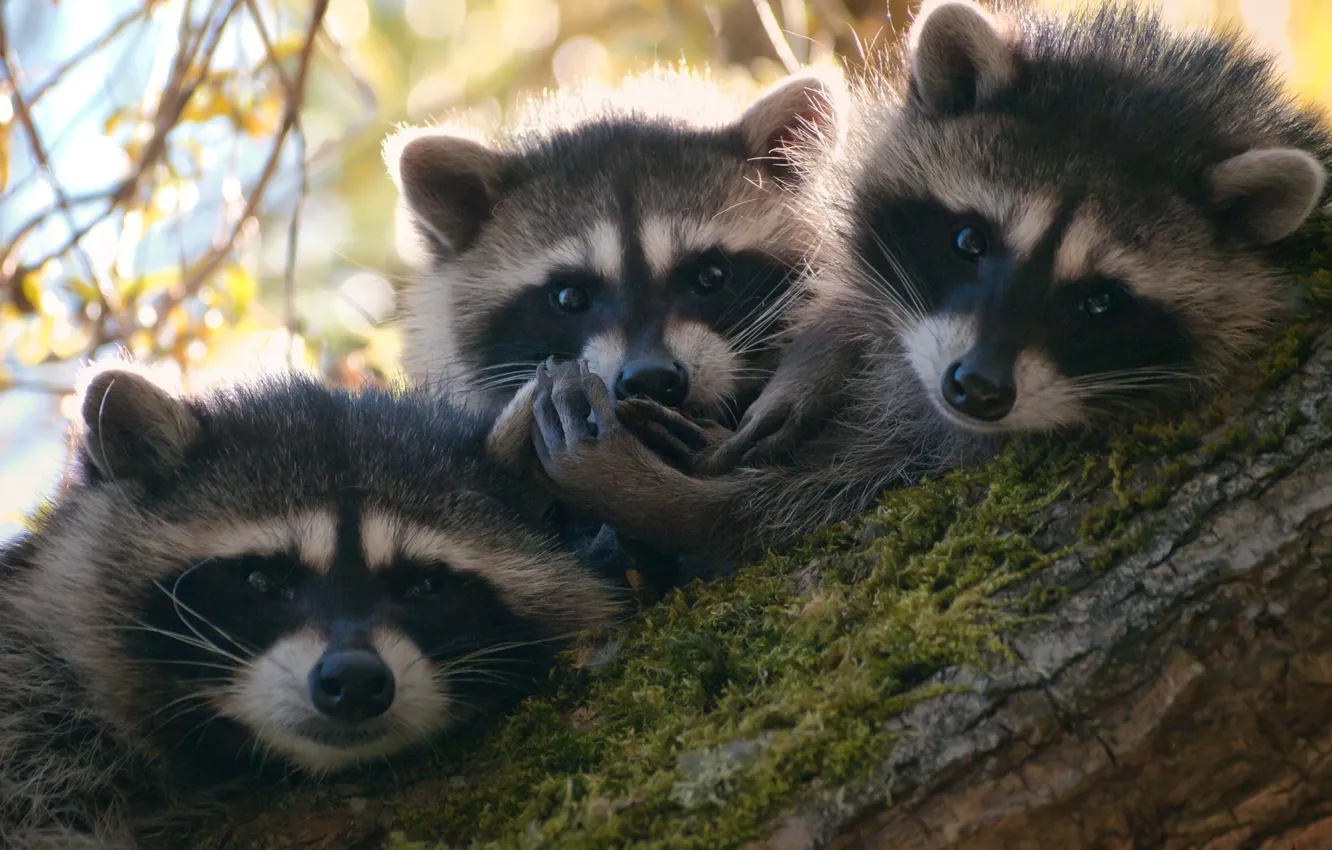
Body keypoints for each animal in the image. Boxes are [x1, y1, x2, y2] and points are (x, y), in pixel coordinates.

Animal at [526, 0, 1332, 563]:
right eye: (969, 241)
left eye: (1100, 300)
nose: (975, 388)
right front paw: (816, 357)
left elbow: (810, 505)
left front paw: (666, 501)